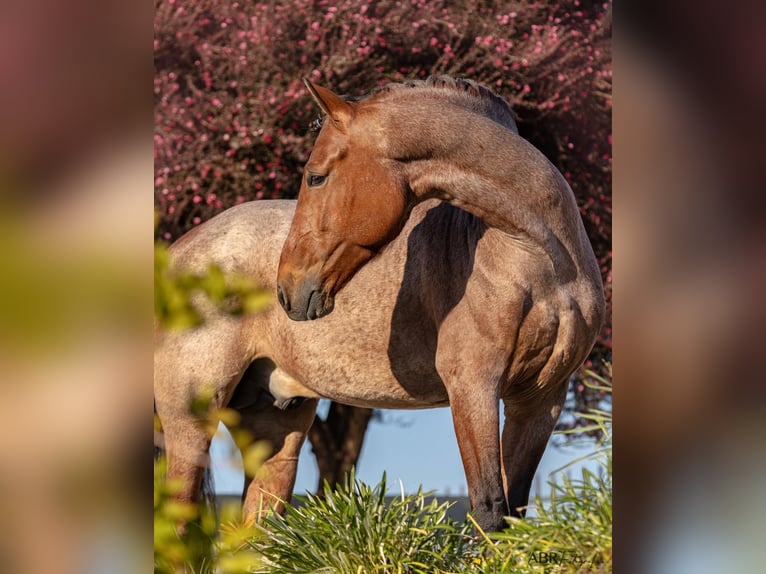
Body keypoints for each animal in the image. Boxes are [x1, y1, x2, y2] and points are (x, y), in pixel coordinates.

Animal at [154, 77, 608, 536]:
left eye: (316, 177)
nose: (288, 291)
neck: (542, 261)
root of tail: (178, 254)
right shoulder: (474, 387)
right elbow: (489, 510)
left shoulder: (540, 398)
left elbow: (513, 513)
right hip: (189, 424)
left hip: (275, 431)